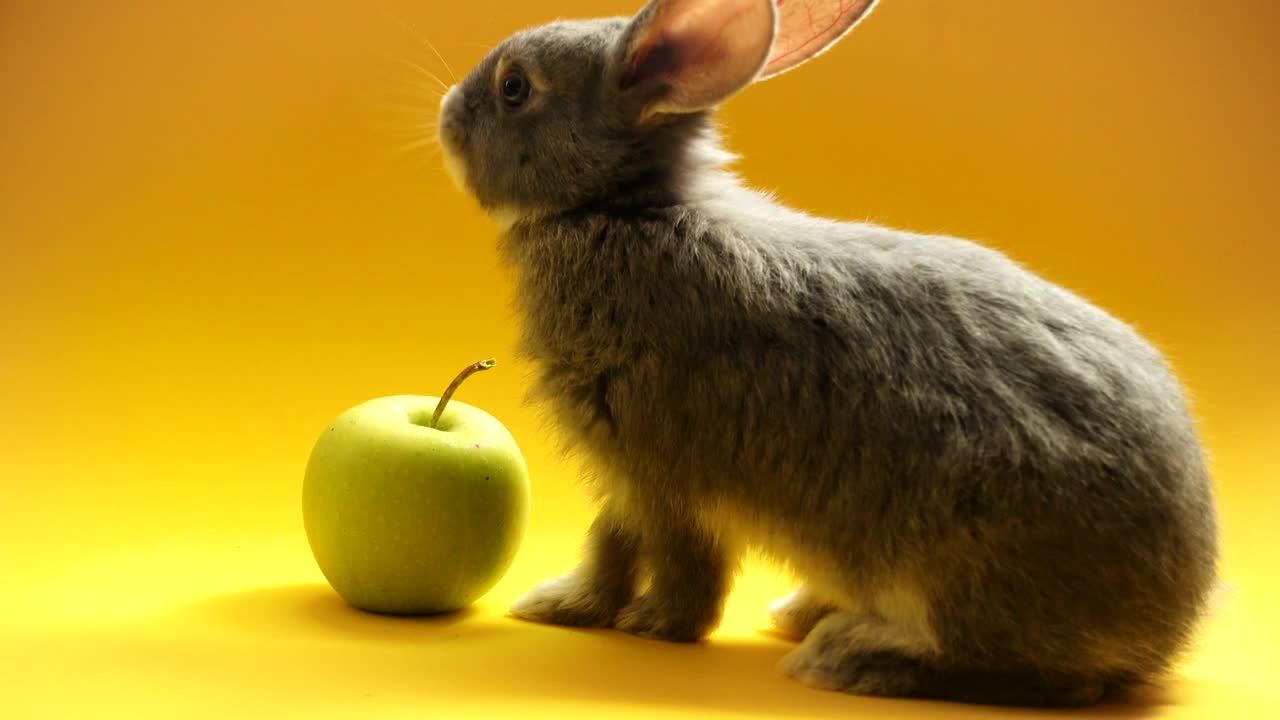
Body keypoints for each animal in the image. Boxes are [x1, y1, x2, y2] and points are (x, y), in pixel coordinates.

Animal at [432, 0, 1218, 707]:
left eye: (515, 87)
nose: (445, 113)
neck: (624, 208)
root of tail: (1171, 620)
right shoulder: (635, 474)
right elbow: (621, 544)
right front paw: (570, 607)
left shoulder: (656, 469)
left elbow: (658, 556)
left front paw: (633, 619)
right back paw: (806, 615)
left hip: (954, 560)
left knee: (1034, 675)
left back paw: (846, 656)